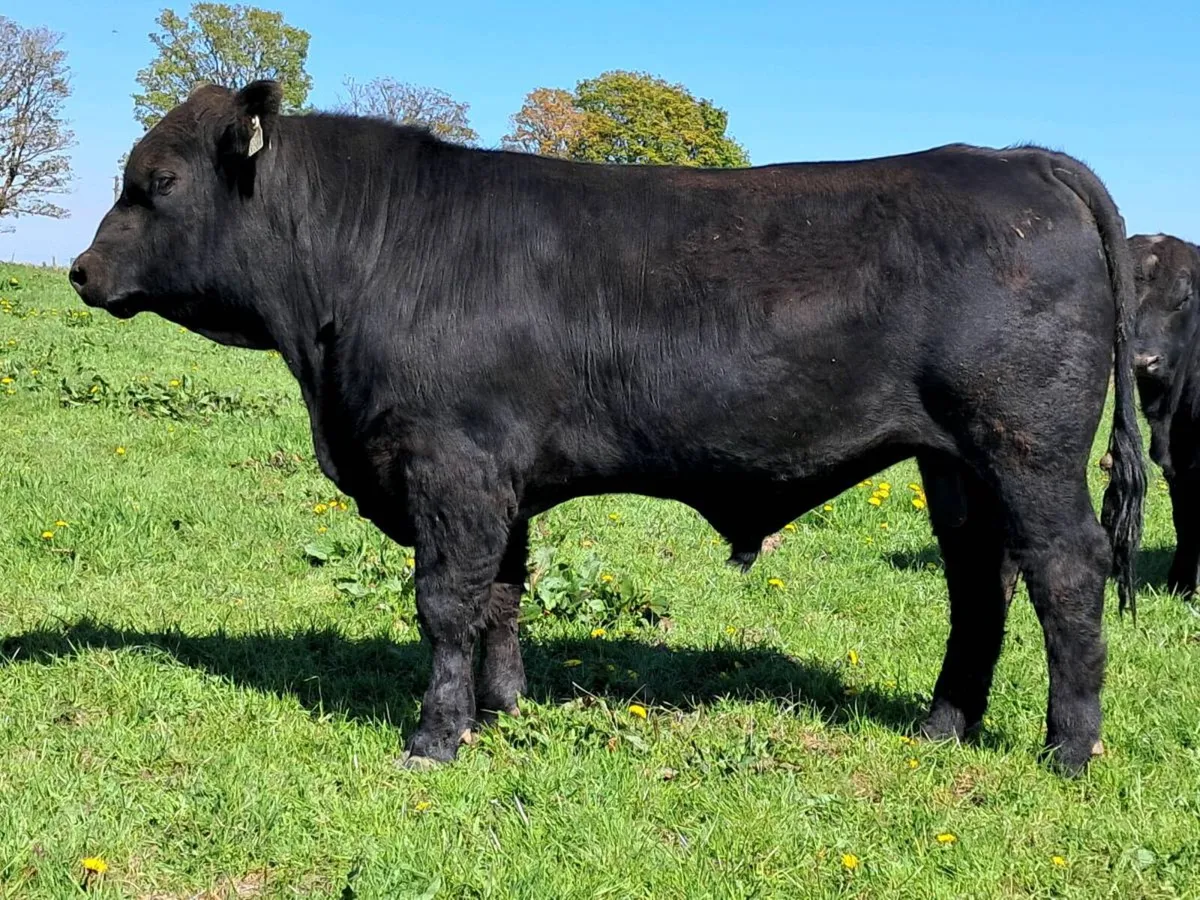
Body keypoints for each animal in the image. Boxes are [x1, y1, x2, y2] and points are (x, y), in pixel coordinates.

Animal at [69, 80, 1144, 775]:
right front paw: (501, 714)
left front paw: (433, 738)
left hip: (1027, 446)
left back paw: (1068, 748)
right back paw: (942, 727)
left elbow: (444, 604)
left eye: (156, 183)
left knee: (1065, 573)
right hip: (955, 464)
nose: (80, 270)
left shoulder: (450, 466)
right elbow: (501, 598)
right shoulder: (498, 478)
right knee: (980, 584)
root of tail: (1015, 157)